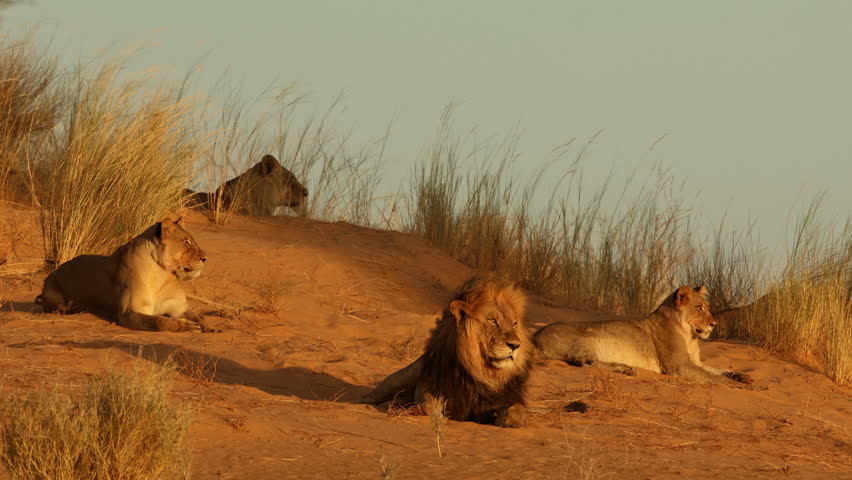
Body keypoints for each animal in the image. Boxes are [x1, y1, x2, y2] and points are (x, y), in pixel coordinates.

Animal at [35, 217, 212, 333]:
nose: (205, 258)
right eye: (186, 241)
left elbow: (199, 316)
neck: (161, 275)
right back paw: (76, 307)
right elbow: (160, 321)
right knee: (57, 307)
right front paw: (185, 326)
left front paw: (207, 326)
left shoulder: (179, 308)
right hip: (53, 292)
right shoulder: (129, 313)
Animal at [359, 274, 534, 428]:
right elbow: (428, 402)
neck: (481, 372)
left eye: (514, 324)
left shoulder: (504, 396)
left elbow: (516, 409)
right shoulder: (431, 384)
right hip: (404, 375)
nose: (515, 345)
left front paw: (510, 421)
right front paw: (420, 410)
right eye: (492, 321)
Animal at [534, 285, 754, 385]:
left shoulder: (695, 362)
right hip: (585, 341)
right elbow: (711, 376)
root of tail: (535, 336)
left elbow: (717, 369)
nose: (713, 324)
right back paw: (627, 370)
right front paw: (736, 386)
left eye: (707, 307)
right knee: (587, 363)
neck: (690, 336)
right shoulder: (678, 366)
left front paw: (741, 376)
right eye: (700, 308)